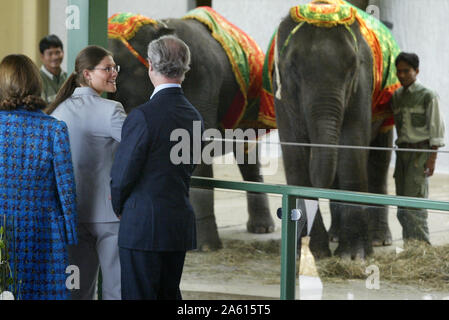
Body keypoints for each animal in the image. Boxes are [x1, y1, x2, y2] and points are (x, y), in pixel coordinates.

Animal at [107, 8, 274, 251]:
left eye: (117, 65)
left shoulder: (203, 80)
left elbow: (197, 148)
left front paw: (205, 248)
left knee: (248, 155)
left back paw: (262, 229)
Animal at [266, 0, 400, 258]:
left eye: (351, 70)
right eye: (294, 70)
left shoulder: (362, 83)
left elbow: (352, 147)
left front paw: (354, 256)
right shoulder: (281, 92)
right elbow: (295, 153)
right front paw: (311, 253)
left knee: (378, 161)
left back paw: (379, 239)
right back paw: (334, 236)